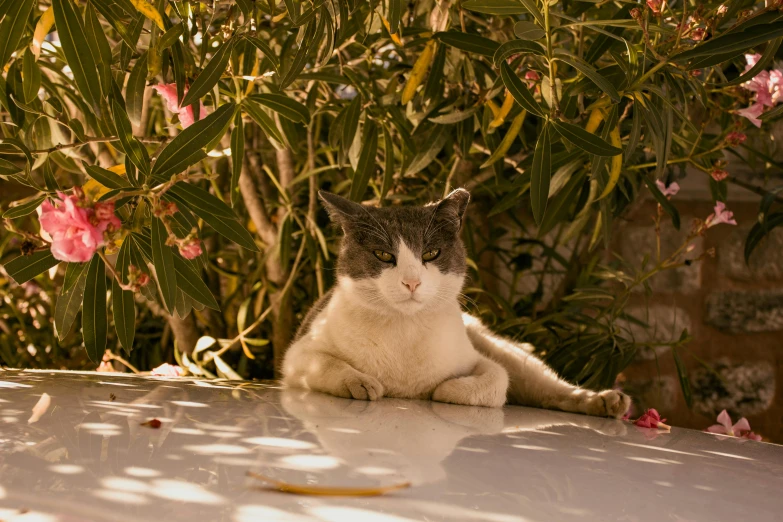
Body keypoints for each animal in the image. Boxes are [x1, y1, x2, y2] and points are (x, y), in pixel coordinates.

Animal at [282, 189, 632, 416]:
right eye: (382, 255)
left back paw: (605, 401)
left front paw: (442, 391)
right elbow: (327, 363)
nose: (412, 282)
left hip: (506, 352)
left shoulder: (481, 361)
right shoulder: (298, 354)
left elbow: (494, 381)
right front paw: (363, 382)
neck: (405, 332)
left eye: (430, 253)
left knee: (549, 389)